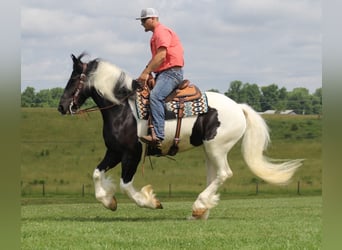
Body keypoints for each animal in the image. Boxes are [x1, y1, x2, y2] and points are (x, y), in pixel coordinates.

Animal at [58, 52, 302, 219]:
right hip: (209, 150)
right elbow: (96, 174)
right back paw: (201, 210)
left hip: (216, 147)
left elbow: (126, 185)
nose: (61, 107)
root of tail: (239, 107)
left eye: (73, 79)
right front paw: (109, 201)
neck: (123, 109)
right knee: (214, 176)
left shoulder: (132, 153)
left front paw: (151, 202)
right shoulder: (115, 151)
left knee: (224, 174)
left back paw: (199, 206)